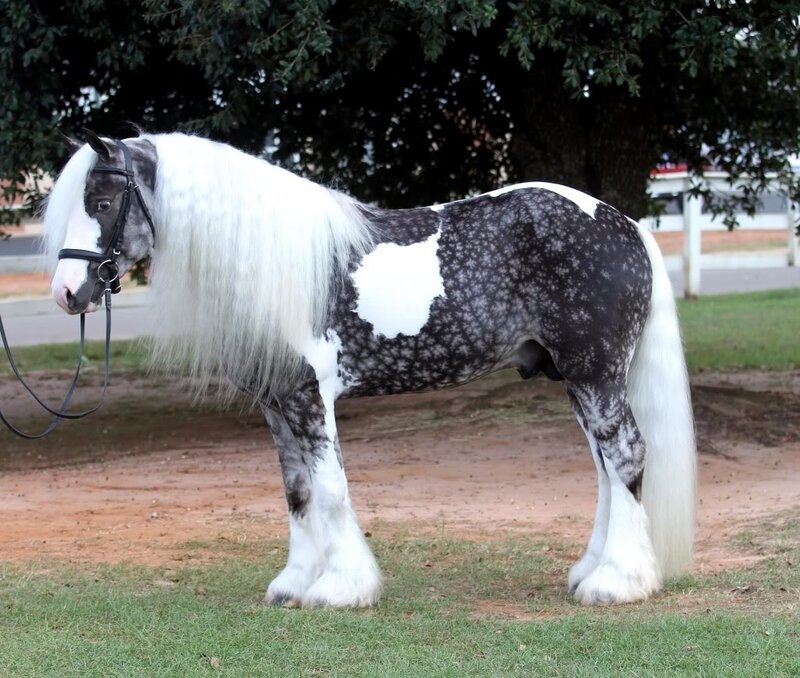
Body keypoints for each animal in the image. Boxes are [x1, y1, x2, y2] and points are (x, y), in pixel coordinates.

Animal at [44, 130, 696, 608]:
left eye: (102, 203)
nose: (67, 293)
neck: (282, 264)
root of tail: (624, 223)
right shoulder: (276, 404)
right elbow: (298, 490)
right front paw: (294, 583)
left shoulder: (310, 397)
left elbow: (331, 488)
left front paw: (340, 588)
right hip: (578, 380)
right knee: (606, 469)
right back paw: (592, 570)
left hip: (596, 373)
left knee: (625, 456)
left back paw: (617, 582)